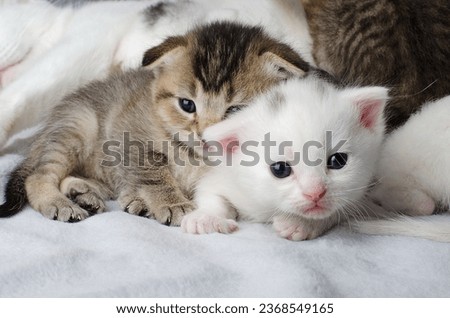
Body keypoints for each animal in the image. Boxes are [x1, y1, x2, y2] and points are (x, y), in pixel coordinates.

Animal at [0, 22, 310, 225]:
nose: (204, 136)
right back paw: (58, 202)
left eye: (234, 110)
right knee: (38, 176)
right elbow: (152, 173)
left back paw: (83, 192)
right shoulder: (130, 138)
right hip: (78, 126)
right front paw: (172, 203)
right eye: (187, 104)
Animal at [181, 76, 388, 240]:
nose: (315, 193)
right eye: (280, 169)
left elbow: (337, 211)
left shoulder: (360, 196)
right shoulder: (222, 176)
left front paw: (300, 223)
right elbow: (211, 194)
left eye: (338, 161)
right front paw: (206, 217)